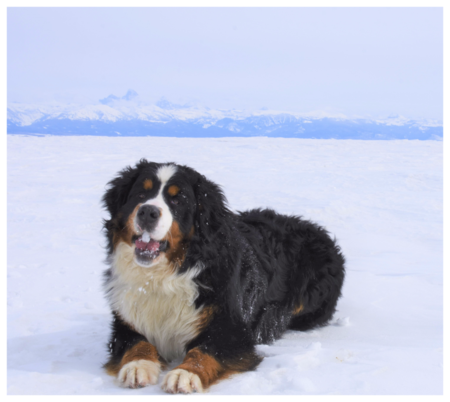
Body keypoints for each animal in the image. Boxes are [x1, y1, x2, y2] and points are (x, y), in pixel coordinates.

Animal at [102, 159, 346, 392]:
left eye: (178, 200)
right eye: (140, 194)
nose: (147, 212)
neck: (164, 276)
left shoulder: (232, 329)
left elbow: (205, 351)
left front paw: (185, 374)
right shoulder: (125, 321)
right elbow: (136, 342)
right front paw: (137, 366)